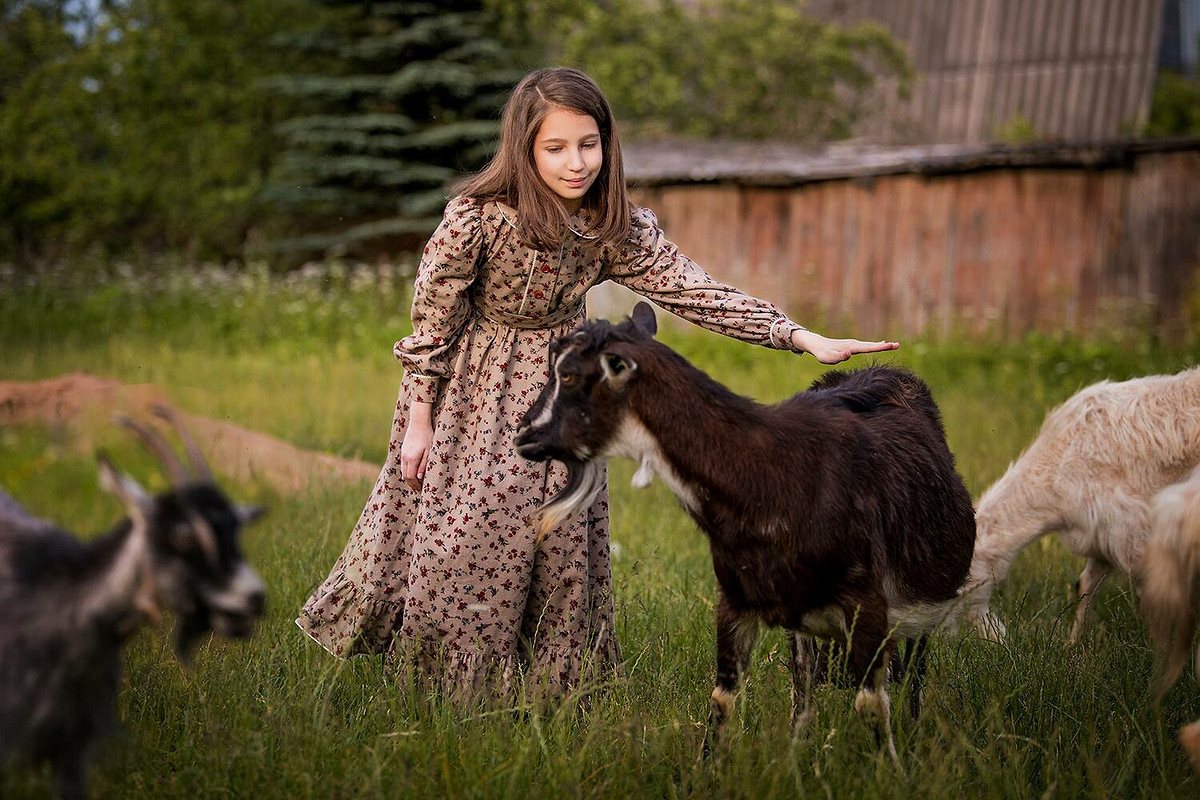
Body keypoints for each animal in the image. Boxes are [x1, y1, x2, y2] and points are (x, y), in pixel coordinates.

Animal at [516, 303, 974, 762]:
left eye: (569, 375)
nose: (524, 434)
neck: (768, 474)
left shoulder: (867, 605)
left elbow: (872, 706)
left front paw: (890, 768)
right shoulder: (735, 600)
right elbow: (723, 699)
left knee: (914, 673)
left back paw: (915, 731)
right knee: (805, 684)